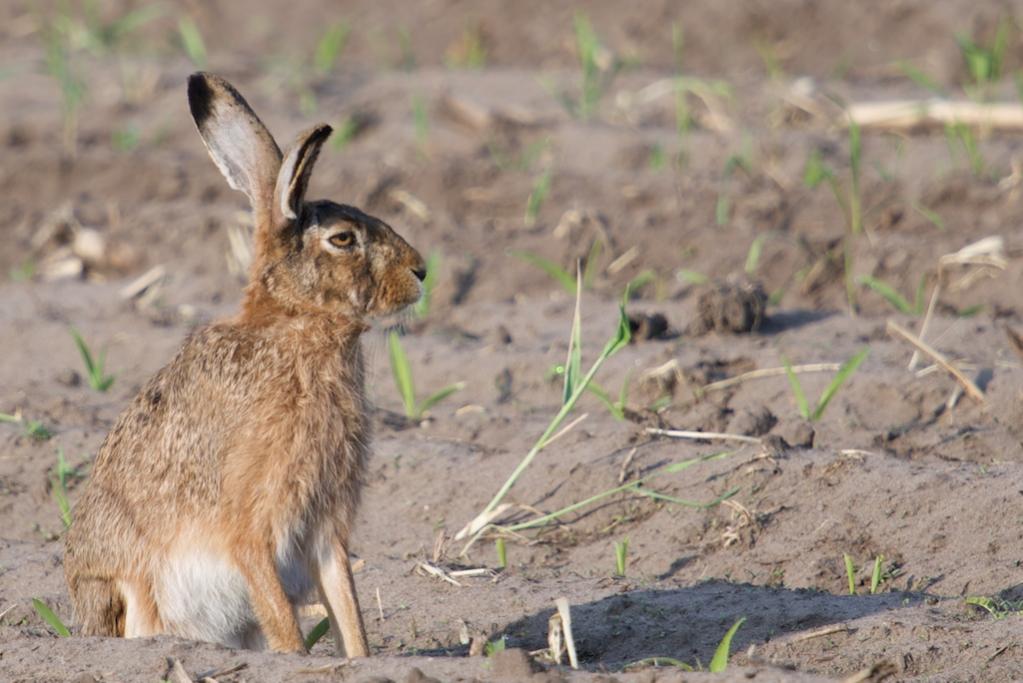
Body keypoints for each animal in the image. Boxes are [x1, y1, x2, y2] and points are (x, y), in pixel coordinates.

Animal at [63, 72, 426, 656]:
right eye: (343, 238)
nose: (422, 271)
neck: (297, 327)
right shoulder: (252, 526)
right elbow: (280, 614)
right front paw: (296, 660)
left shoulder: (325, 530)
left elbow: (347, 607)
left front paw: (361, 660)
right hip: (134, 588)